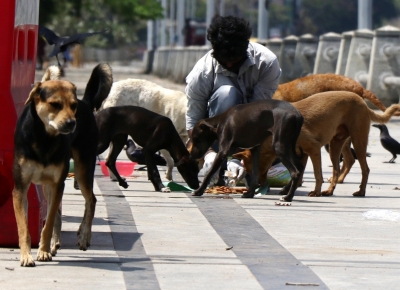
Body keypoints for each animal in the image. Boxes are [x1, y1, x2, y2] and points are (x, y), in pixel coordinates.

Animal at [12, 63, 112, 268]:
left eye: (73, 106)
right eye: (54, 104)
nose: (72, 122)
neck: (43, 138)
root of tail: (85, 102)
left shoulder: (58, 184)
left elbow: (48, 223)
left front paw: (42, 251)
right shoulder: (20, 188)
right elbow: (24, 227)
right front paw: (26, 255)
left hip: (82, 169)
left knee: (91, 200)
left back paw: (83, 236)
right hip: (48, 185)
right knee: (58, 211)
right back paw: (54, 244)